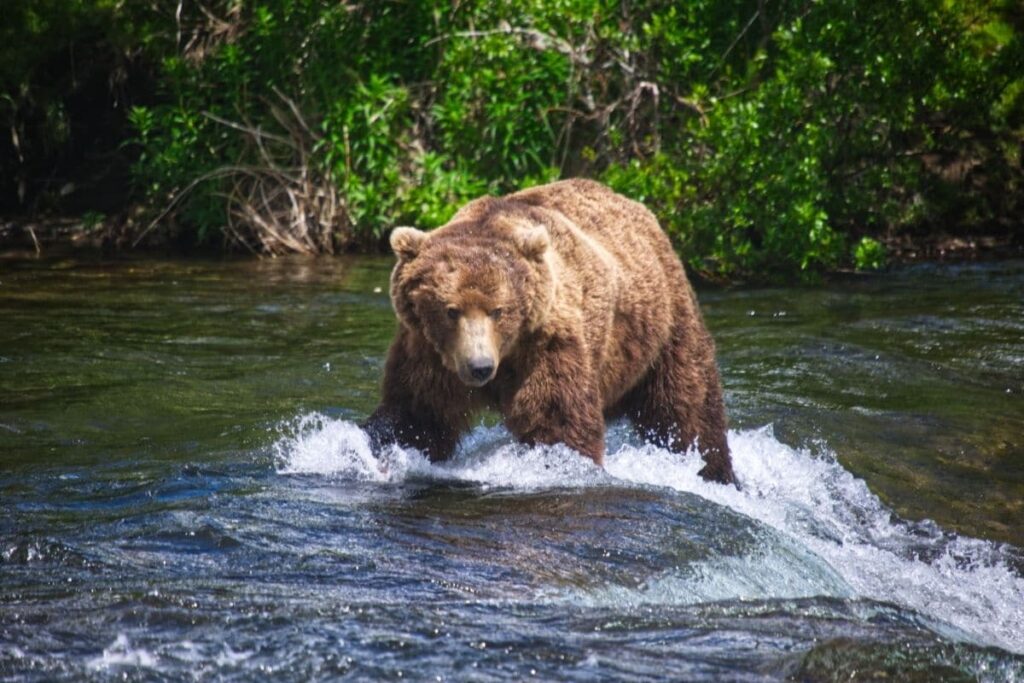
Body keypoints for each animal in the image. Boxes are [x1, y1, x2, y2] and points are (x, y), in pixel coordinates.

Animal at [362, 178, 735, 485]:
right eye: (450, 310)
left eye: (498, 310)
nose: (479, 367)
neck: (507, 352)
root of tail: (638, 208)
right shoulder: (428, 351)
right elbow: (418, 415)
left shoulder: (546, 342)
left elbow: (555, 420)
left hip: (661, 326)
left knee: (687, 404)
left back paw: (714, 470)